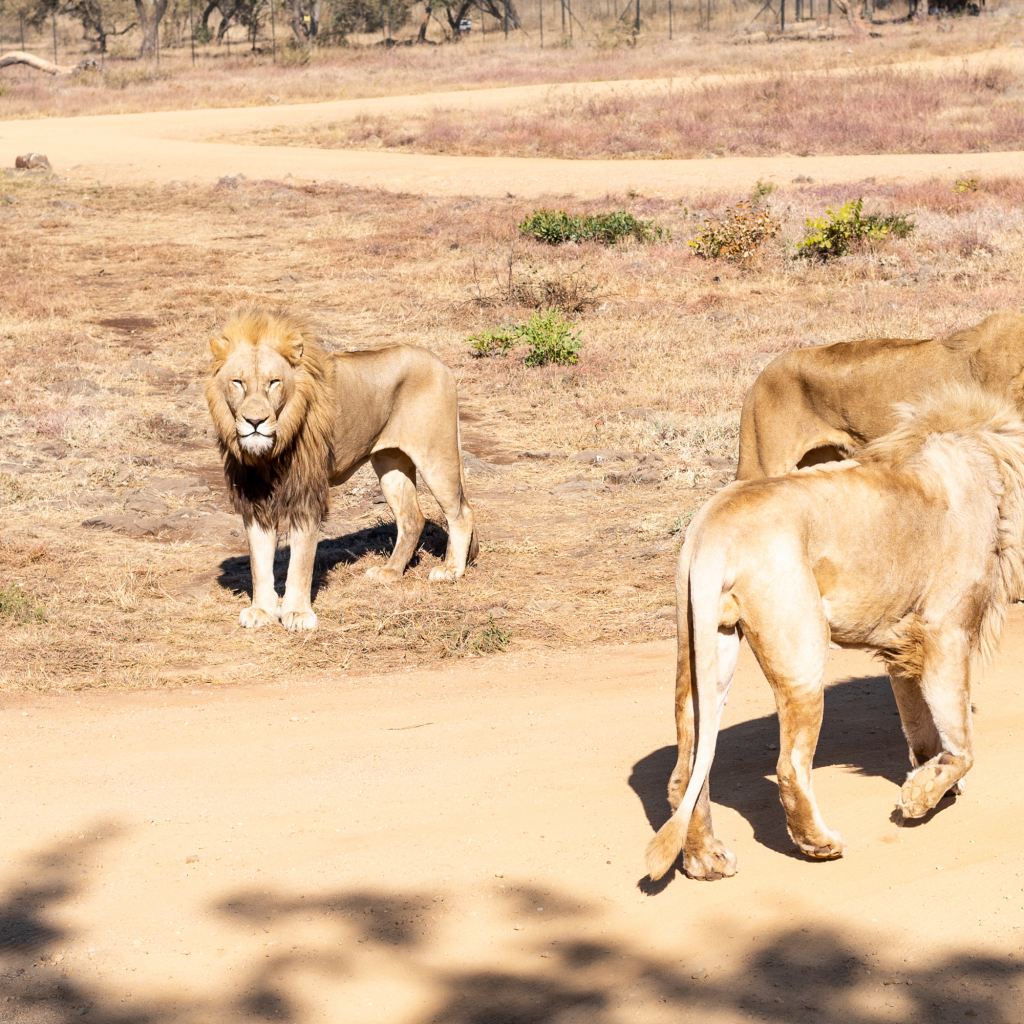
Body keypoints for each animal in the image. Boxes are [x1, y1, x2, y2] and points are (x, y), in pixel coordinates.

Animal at [208, 307, 483, 626]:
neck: (270, 452)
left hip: (436, 455)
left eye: (274, 382)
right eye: (237, 383)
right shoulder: (254, 494)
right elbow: (259, 560)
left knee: (461, 512)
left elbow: (300, 561)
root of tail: (441, 363)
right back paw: (390, 572)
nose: (255, 421)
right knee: (412, 518)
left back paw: (451, 570)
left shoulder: (307, 494)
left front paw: (297, 613)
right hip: (390, 466)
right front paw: (262, 610)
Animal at [647, 387, 1024, 884]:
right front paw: (920, 797)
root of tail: (711, 529)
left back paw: (706, 860)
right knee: (790, 766)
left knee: (687, 767)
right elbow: (962, 740)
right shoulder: (946, 629)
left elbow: (924, 730)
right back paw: (818, 843)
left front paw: (930, 782)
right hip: (801, 652)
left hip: (706, 648)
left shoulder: (904, 644)